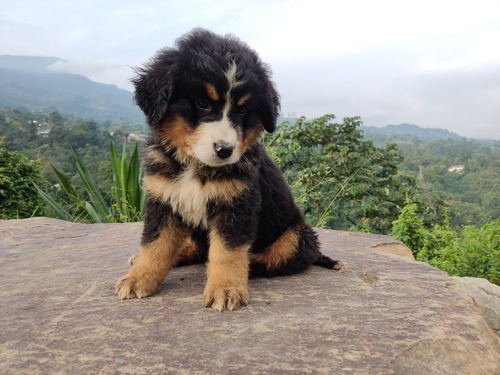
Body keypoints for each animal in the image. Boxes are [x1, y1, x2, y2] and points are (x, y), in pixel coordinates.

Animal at [115, 28, 342, 312]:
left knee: (272, 258)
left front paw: (225, 288)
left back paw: (249, 266)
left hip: (296, 235)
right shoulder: (164, 198)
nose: (225, 150)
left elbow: (227, 252)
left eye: (243, 110)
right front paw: (139, 278)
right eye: (203, 103)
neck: (195, 166)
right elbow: (155, 244)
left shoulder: (236, 205)